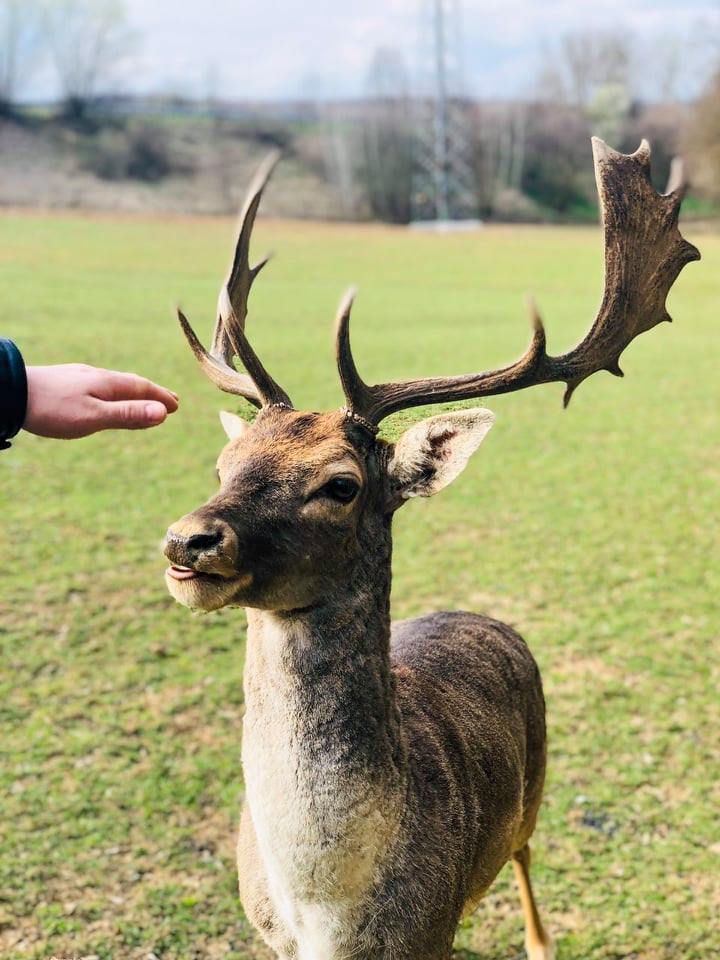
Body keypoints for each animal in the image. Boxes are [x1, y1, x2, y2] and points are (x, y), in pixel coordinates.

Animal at [162, 141, 696, 960]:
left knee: (525, 853)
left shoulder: (430, 927)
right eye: (225, 465)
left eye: (341, 485)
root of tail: (480, 615)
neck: (325, 913)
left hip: (534, 787)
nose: (189, 540)